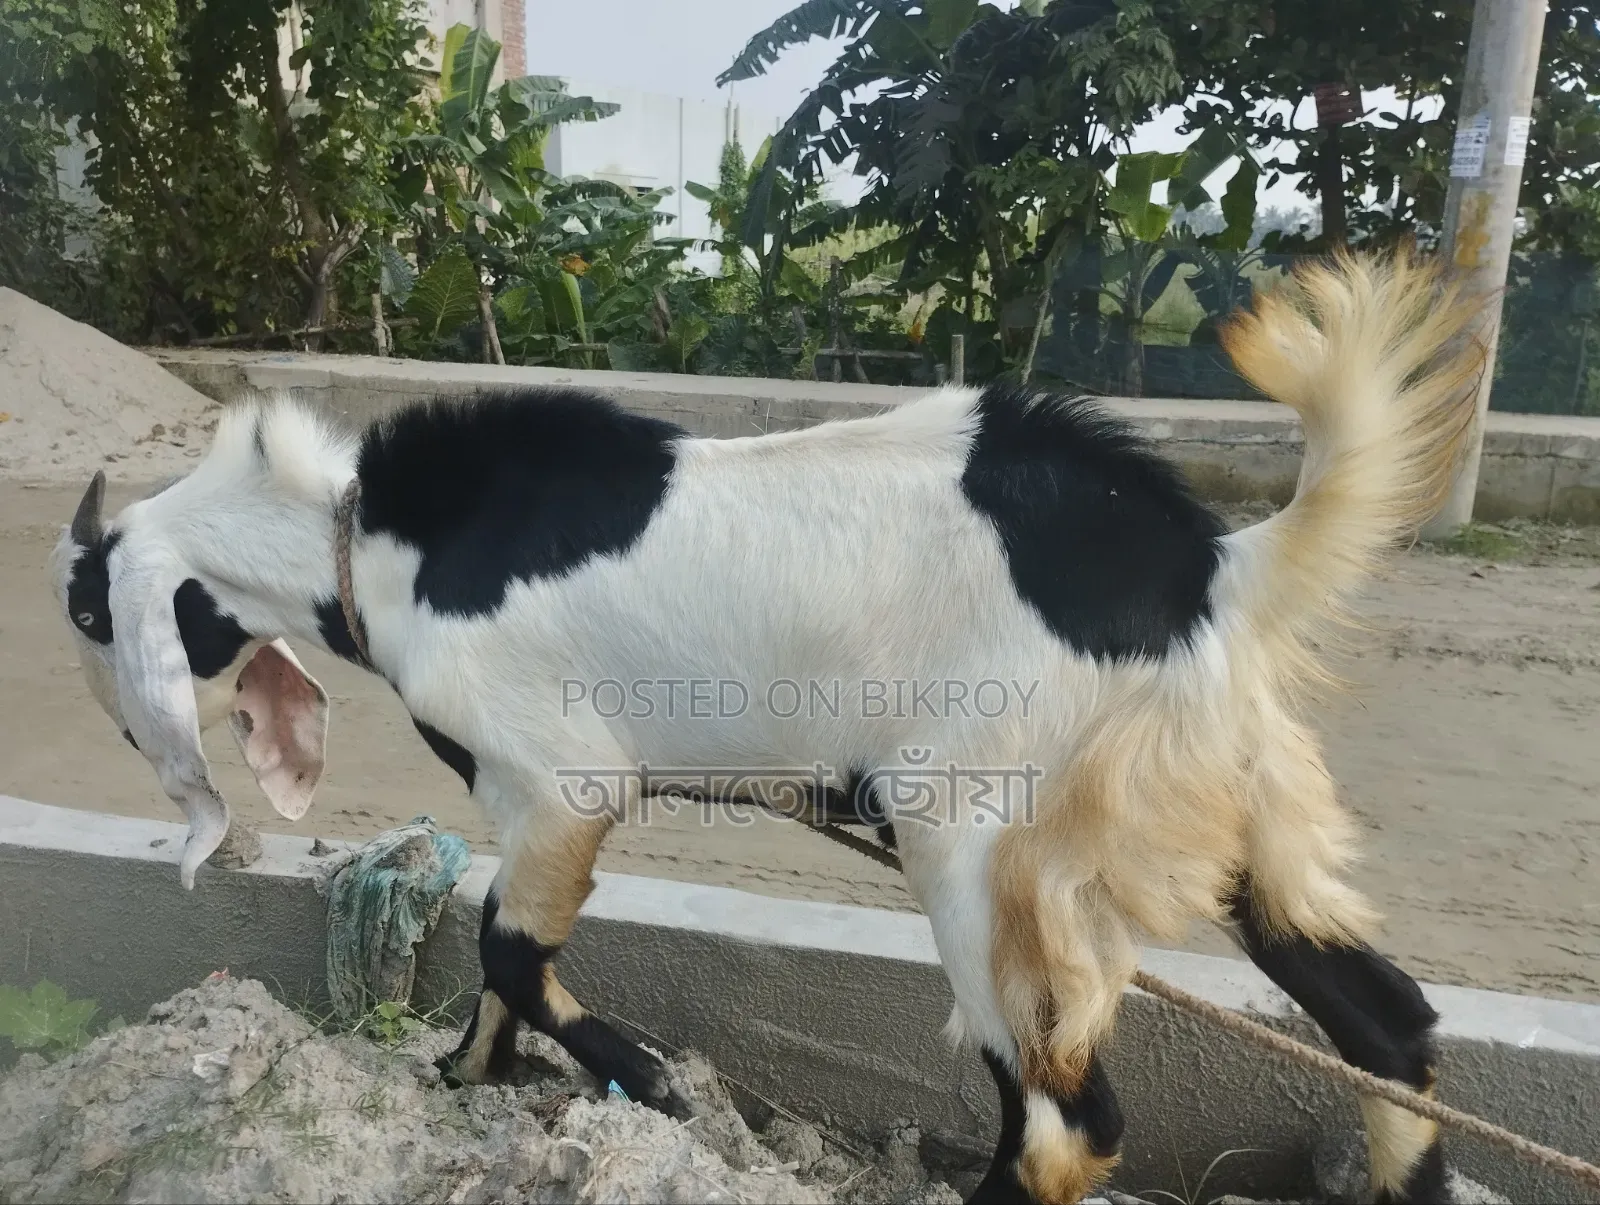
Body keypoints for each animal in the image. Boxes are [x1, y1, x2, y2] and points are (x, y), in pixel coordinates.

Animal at [53, 250, 1483, 1205]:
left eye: (84, 607)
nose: (125, 742)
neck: (375, 537)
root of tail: (1210, 564)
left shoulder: (564, 777)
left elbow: (510, 944)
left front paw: (648, 1077)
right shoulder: (515, 796)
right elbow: (493, 960)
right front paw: (465, 1079)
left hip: (983, 838)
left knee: (1064, 1115)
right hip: (1216, 803)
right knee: (1386, 1030)